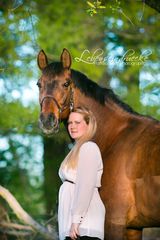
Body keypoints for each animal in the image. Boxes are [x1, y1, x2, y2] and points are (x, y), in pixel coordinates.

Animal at [36, 48, 160, 240]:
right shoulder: (133, 228)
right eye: (39, 84)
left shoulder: (113, 223)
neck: (114, 136)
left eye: (66, 83)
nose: (47, 121)